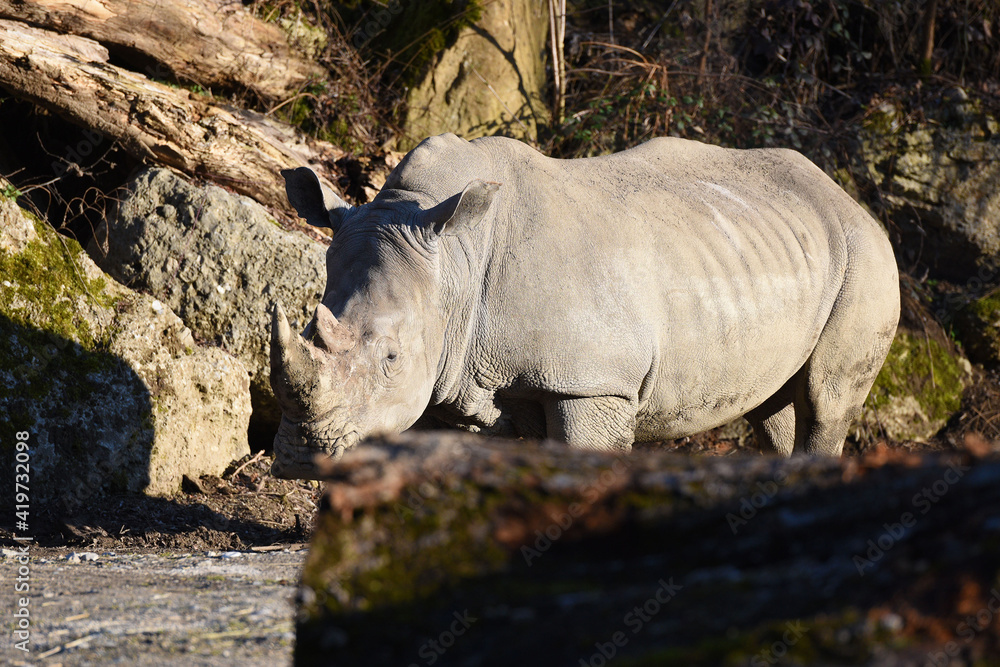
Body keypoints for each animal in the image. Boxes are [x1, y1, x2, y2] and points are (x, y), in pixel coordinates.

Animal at [269, 133, 900, 479]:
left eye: (392, 360)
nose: (303, 457)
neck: (455, 262)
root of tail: (849, 198)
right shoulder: (458, 372)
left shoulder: (593, 382)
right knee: (774, 407)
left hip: (865, 258)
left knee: (826, 400)